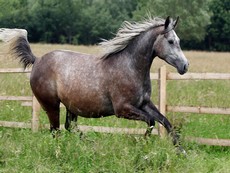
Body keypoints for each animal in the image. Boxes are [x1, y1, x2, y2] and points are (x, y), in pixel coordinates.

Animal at [2, 16, 189, 151]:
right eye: (171, 41)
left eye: (178, 40)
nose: (185, 66)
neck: (130, 66)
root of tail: (37, 60)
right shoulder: (123, 109)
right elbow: (151, 122)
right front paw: (142, 145)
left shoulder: (144, 103)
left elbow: (165, 122)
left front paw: (181, 151)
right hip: (51, 105)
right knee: (56, 131)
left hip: (71, 107)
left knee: (69, 127)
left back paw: (89, 145)